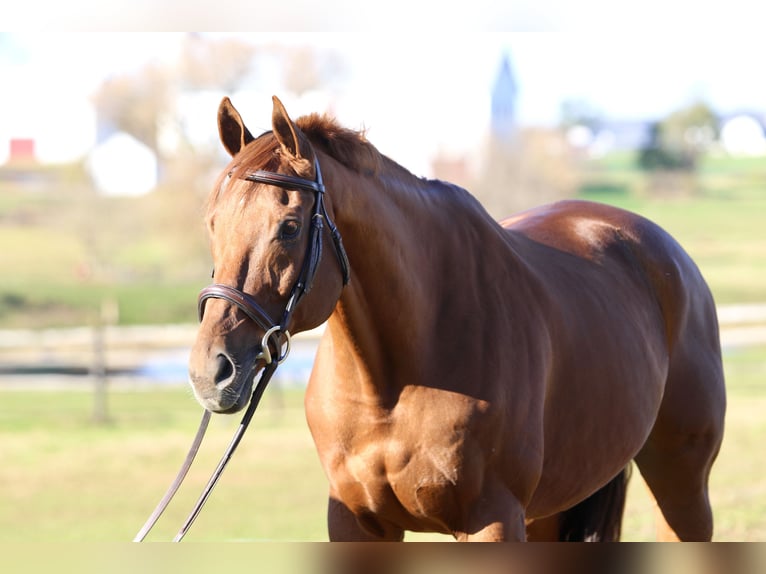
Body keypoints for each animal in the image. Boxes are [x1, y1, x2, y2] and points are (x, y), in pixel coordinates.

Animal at [188, 95, 726, 541]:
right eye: (211, 223)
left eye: (289, 227)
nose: (210, 372)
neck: (391, 382)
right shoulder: (356, 522)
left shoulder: (493, 520)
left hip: (681, 489)